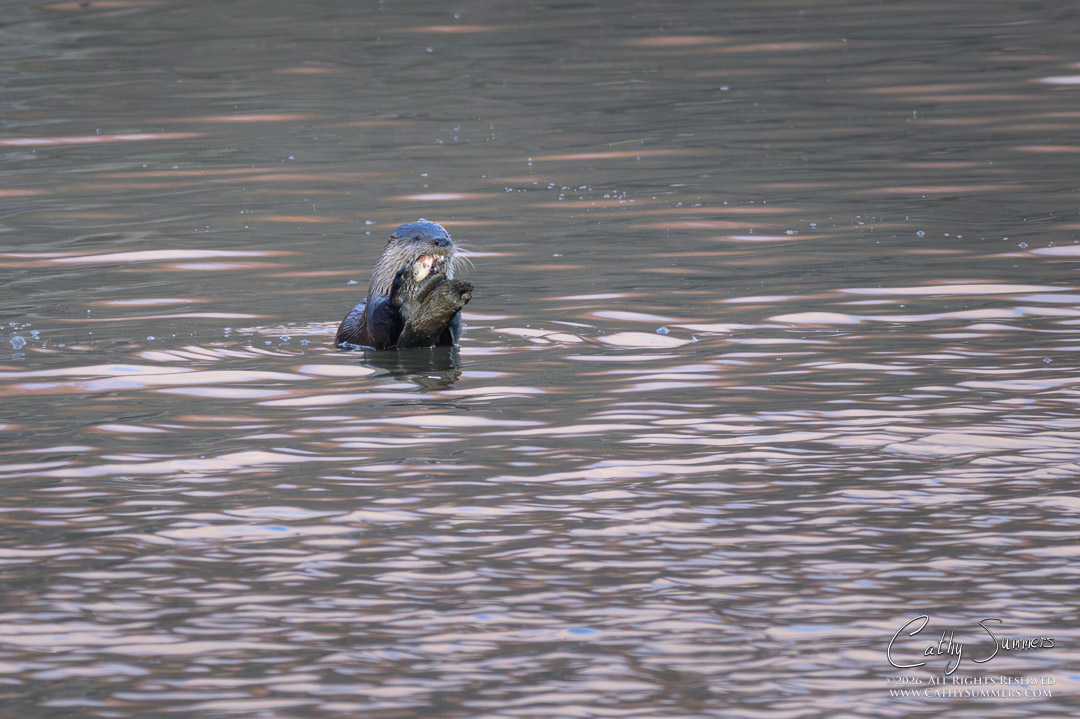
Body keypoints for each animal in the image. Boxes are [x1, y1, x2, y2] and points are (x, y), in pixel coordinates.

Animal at [335, 219, 472, 350]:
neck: (412, 304)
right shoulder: (374, 309)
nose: (442, 241)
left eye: (446, 235)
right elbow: (380, 337)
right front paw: (396, 293)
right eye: (417, 237)